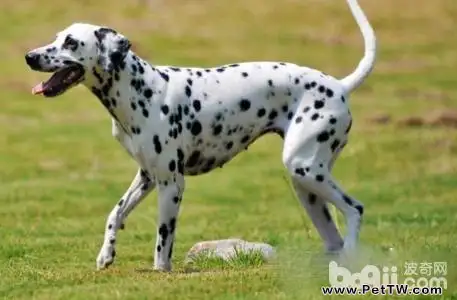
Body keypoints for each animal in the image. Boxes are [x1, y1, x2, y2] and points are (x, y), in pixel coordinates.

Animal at [25, 0, 374, 272]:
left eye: (71, 42)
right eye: (57, 37)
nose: (30, 56)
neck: (140, 91)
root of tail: (339, 85)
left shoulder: (171, 184)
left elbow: (162, 243)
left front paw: (160, 272)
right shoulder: (146, 177)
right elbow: (115, 213)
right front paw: (106, 254)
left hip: (305, 169)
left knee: (355, 209)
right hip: (305, 186)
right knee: (334, 233)